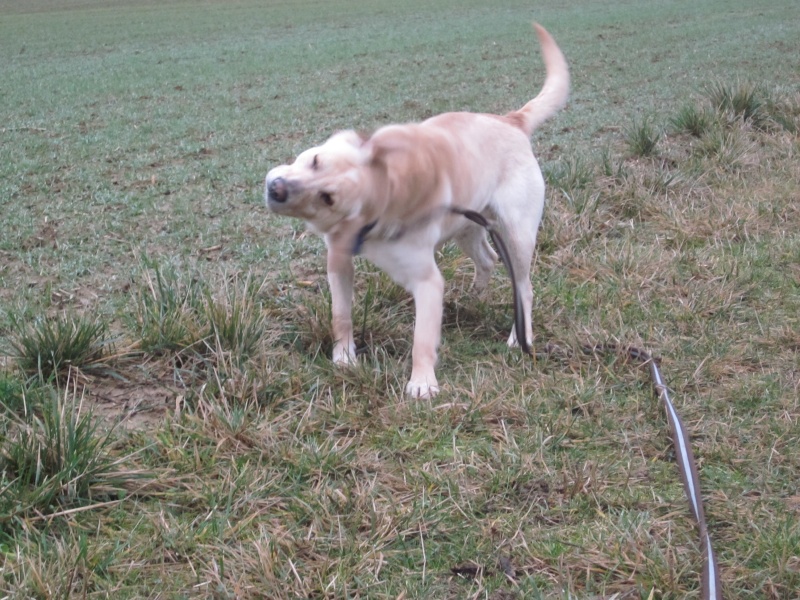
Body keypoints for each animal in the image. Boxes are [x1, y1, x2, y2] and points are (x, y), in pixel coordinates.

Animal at [268, 24, 568, 398]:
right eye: (314, 160)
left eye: (328, 197)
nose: (275, 189)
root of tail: (512, 121)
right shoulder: (338, 261)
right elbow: (341, 316)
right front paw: (344, 358)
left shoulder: (427, 282)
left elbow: (421, 339)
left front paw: (422, 383)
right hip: (468, 227)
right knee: (487, 259)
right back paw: (475, 299)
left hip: (517, 236)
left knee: (524, 287)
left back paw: (518, 337)